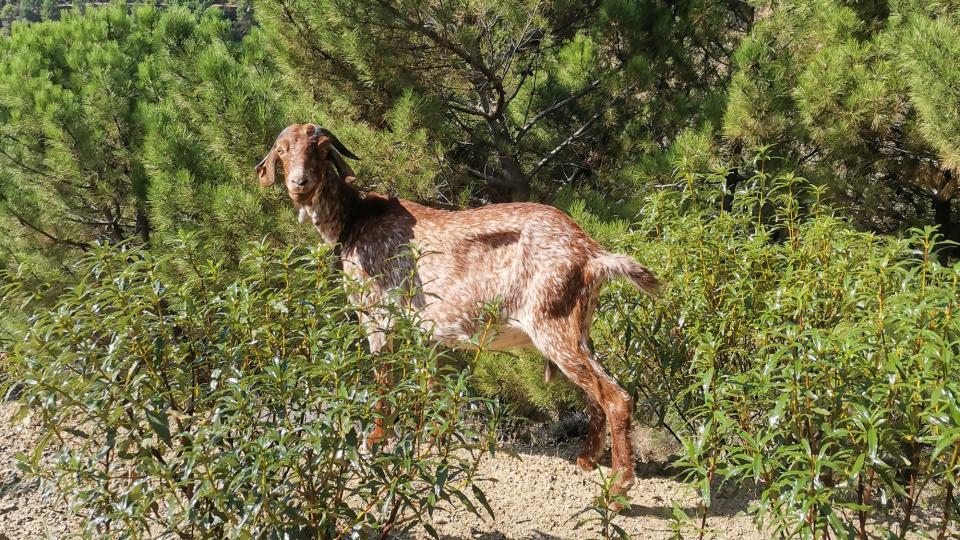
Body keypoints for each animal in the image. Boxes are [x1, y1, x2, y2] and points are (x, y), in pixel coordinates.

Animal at [256, 123, 661, 503]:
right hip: (578, 327)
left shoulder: (376, 316)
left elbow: (384, 380)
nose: (300, 183)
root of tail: (592, 254)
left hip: (553, 326)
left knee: (616, 397)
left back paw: (619, 487)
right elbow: (432, 386)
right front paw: (432, 441)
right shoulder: (427, 331)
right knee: (597, 394)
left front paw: (375, 440)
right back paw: (587, 461)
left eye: (322, 150)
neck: (353, 219)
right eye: (283, 150)